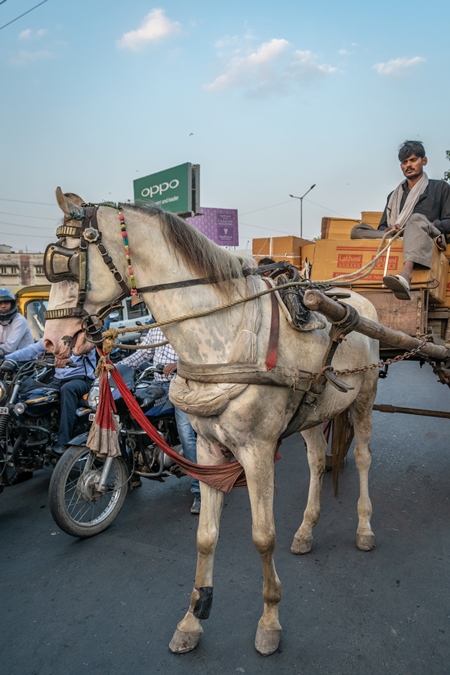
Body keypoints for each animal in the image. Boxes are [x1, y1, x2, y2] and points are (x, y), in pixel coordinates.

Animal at [43, 189, 380, 656]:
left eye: (66, 259)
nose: (51, 342)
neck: (224, 336)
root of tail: (357, 299)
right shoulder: (205, 448)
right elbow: (205, 536)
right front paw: (193, 617)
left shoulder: (257, 451)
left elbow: (263, 536)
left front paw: (270, 621)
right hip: (315, 411)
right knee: (315, 462)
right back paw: (306, 530)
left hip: (364, 398)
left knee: (364, 458)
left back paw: (365, 528)